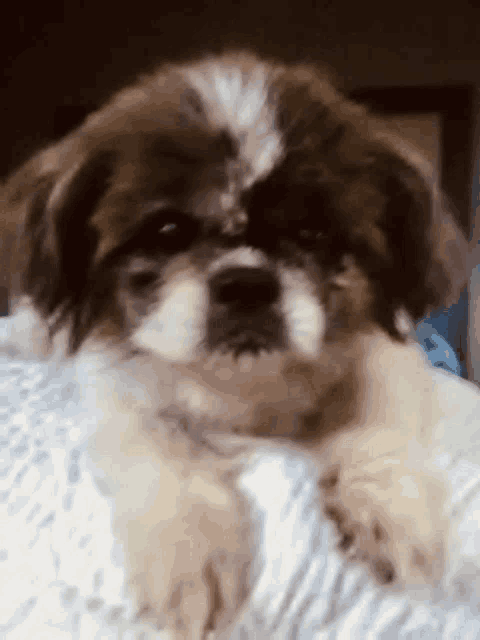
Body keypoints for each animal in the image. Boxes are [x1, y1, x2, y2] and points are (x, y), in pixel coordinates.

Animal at [0, 51, 472, 640]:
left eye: (314, 235)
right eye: (168, 230)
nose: (247, 282)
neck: (247, 389)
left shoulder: (386, 357)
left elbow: (377, 422)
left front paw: (391, 512)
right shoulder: (118, 388)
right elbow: (165, 447)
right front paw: (191, 552)